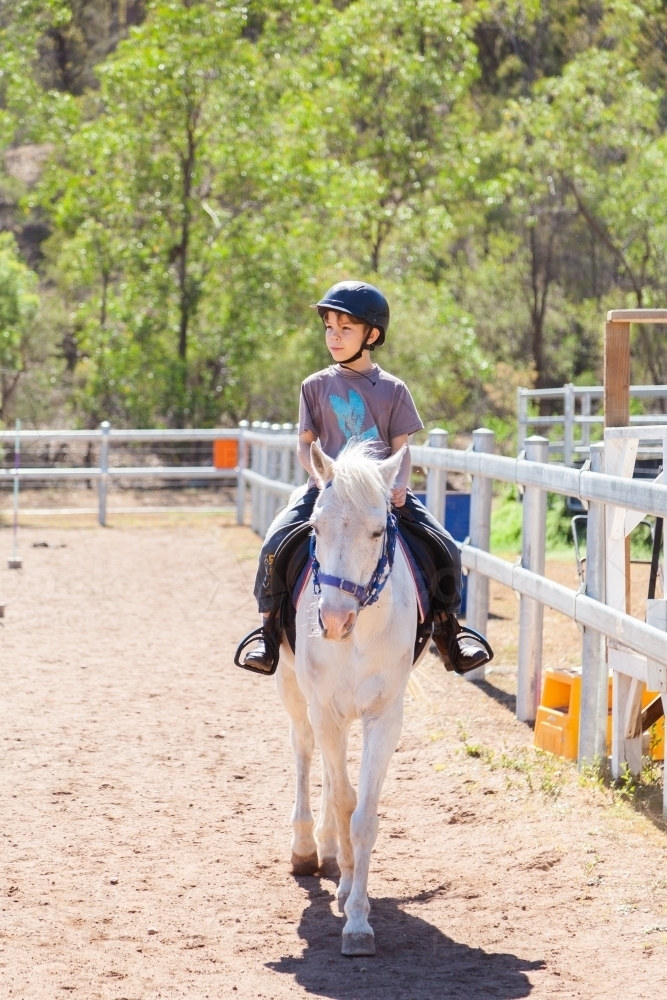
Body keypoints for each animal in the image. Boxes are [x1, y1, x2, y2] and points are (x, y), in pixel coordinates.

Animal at [276, 442, 422, 956]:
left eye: (378, 530)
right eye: (315, 527)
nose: (334, 620)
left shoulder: (384, 717)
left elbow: (362, 817)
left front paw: (357, 919)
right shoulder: (325, 709)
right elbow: (342, 799)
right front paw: (345, 892)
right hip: (295, 690)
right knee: (303, 751)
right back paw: (306, 848)